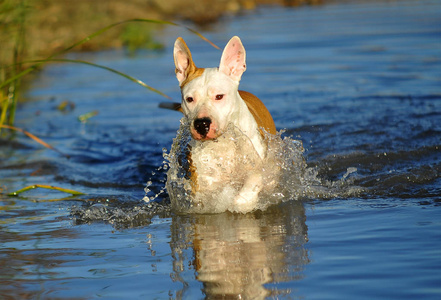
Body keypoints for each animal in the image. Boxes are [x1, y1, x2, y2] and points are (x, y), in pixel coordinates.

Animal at [163, 35, 276, 213]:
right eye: (190, 99)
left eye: (219, 96)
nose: (201, 124)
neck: (224, 142)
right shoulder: (203, 181)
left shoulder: (260, 166)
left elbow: (254, 178)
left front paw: (243, 202)